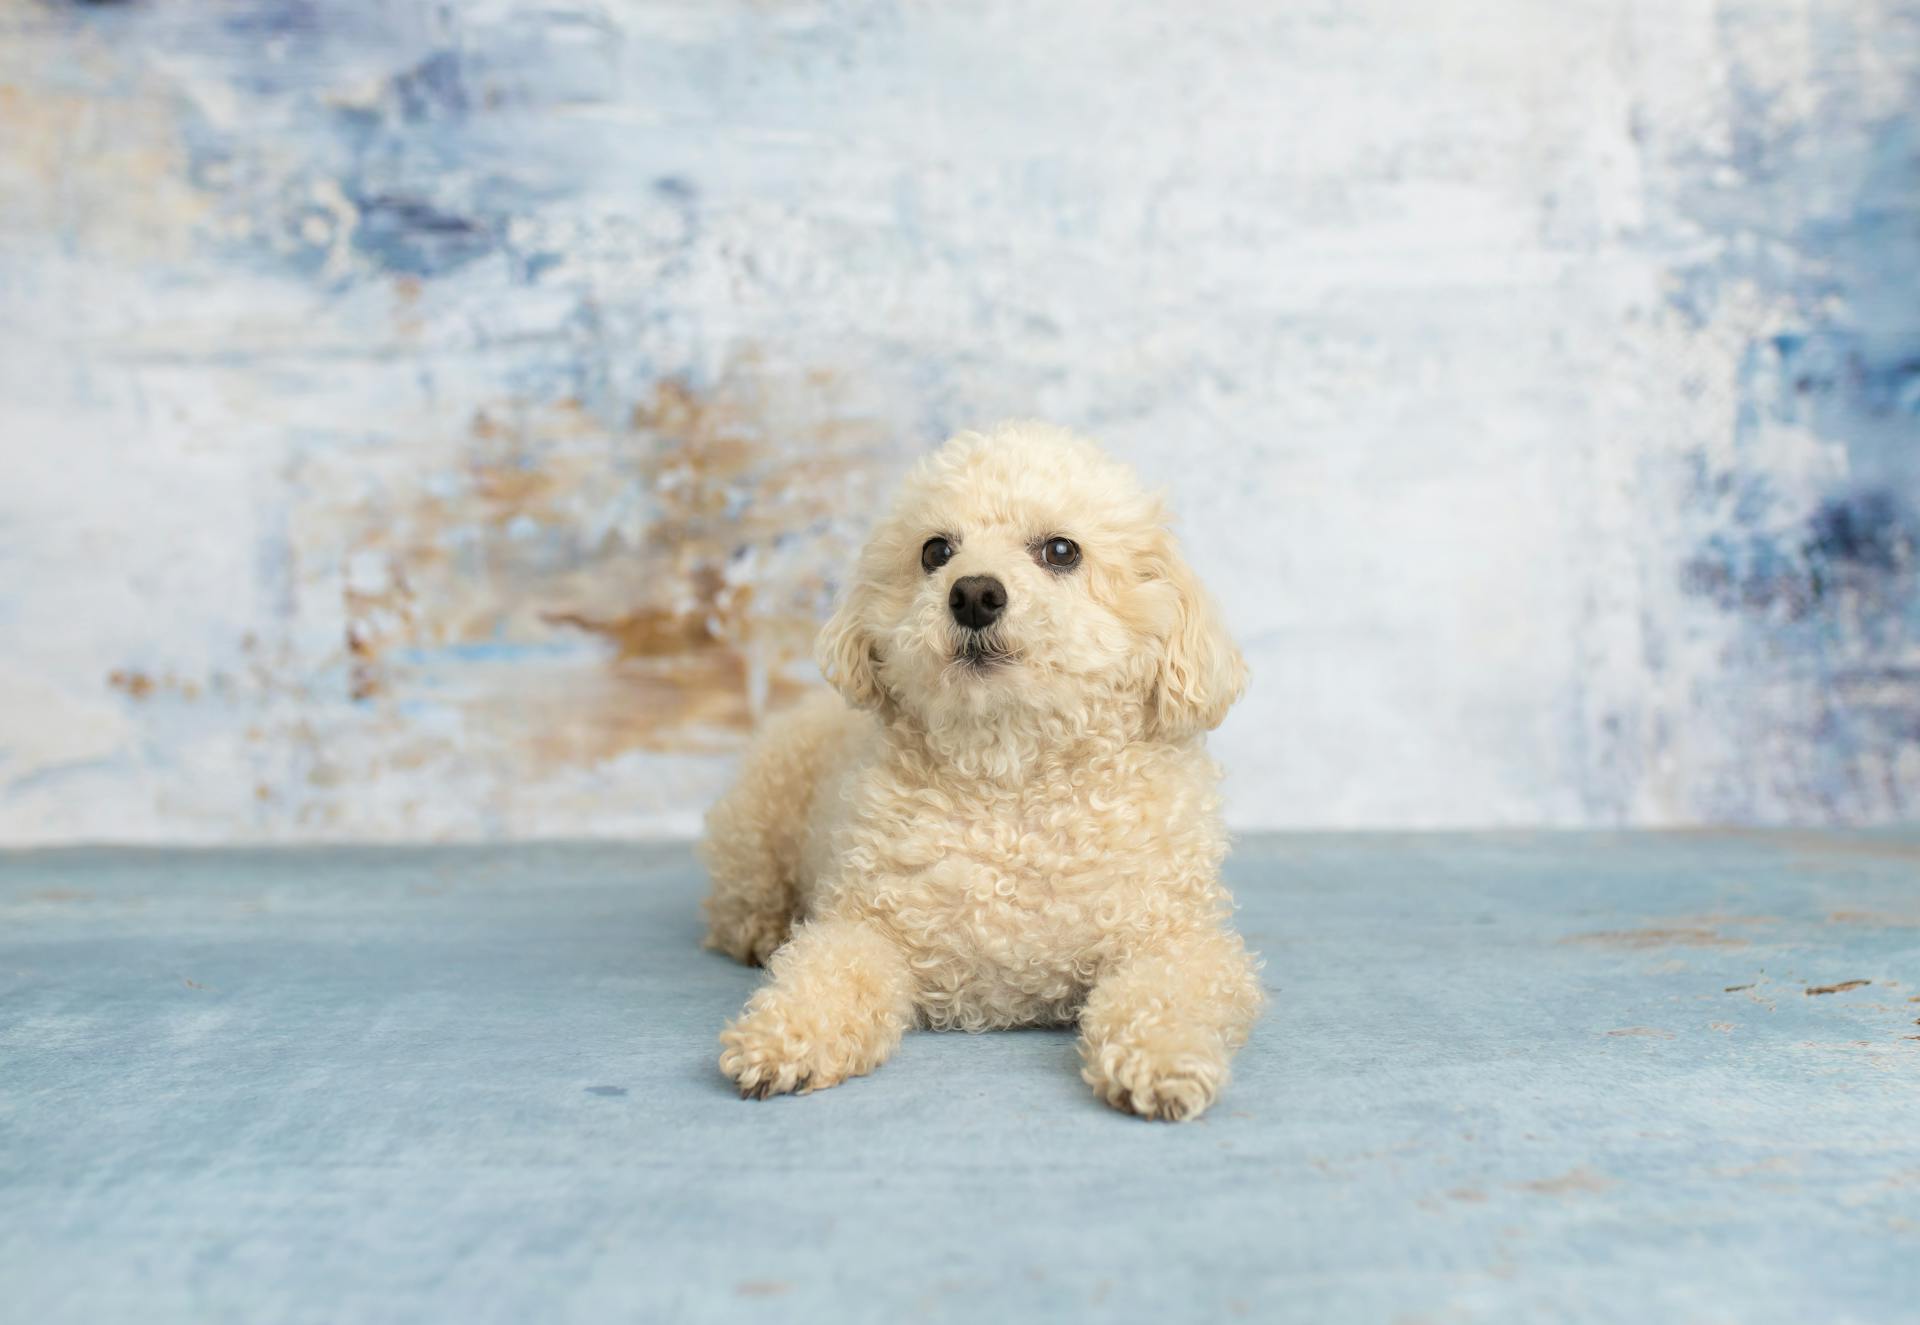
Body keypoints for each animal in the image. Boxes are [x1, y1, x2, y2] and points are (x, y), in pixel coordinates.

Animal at [698, 420, 1267, 1113]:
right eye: (935, 551)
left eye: (1061, 550)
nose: (973, 593)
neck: (1011, 776)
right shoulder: (865, 925)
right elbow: (827, 970)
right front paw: (785, 1037)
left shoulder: (1178, 939)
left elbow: (1165, 990)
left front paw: (1161, 1059)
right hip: (753, 836)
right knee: (738, 904)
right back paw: (761, 933)